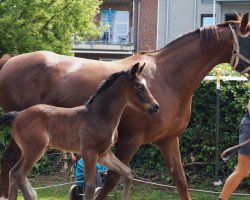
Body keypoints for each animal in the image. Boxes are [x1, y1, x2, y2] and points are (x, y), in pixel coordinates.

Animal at [0, 63, 158, 200]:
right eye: (139, 85)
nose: (155, 106)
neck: (98, 115)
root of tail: (18, 114)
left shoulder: (104, 155)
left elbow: (127, 173)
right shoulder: (89, 153)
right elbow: (90, 187)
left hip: (33, 150)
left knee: (13, 173)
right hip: (34, 150)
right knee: (18, 173)